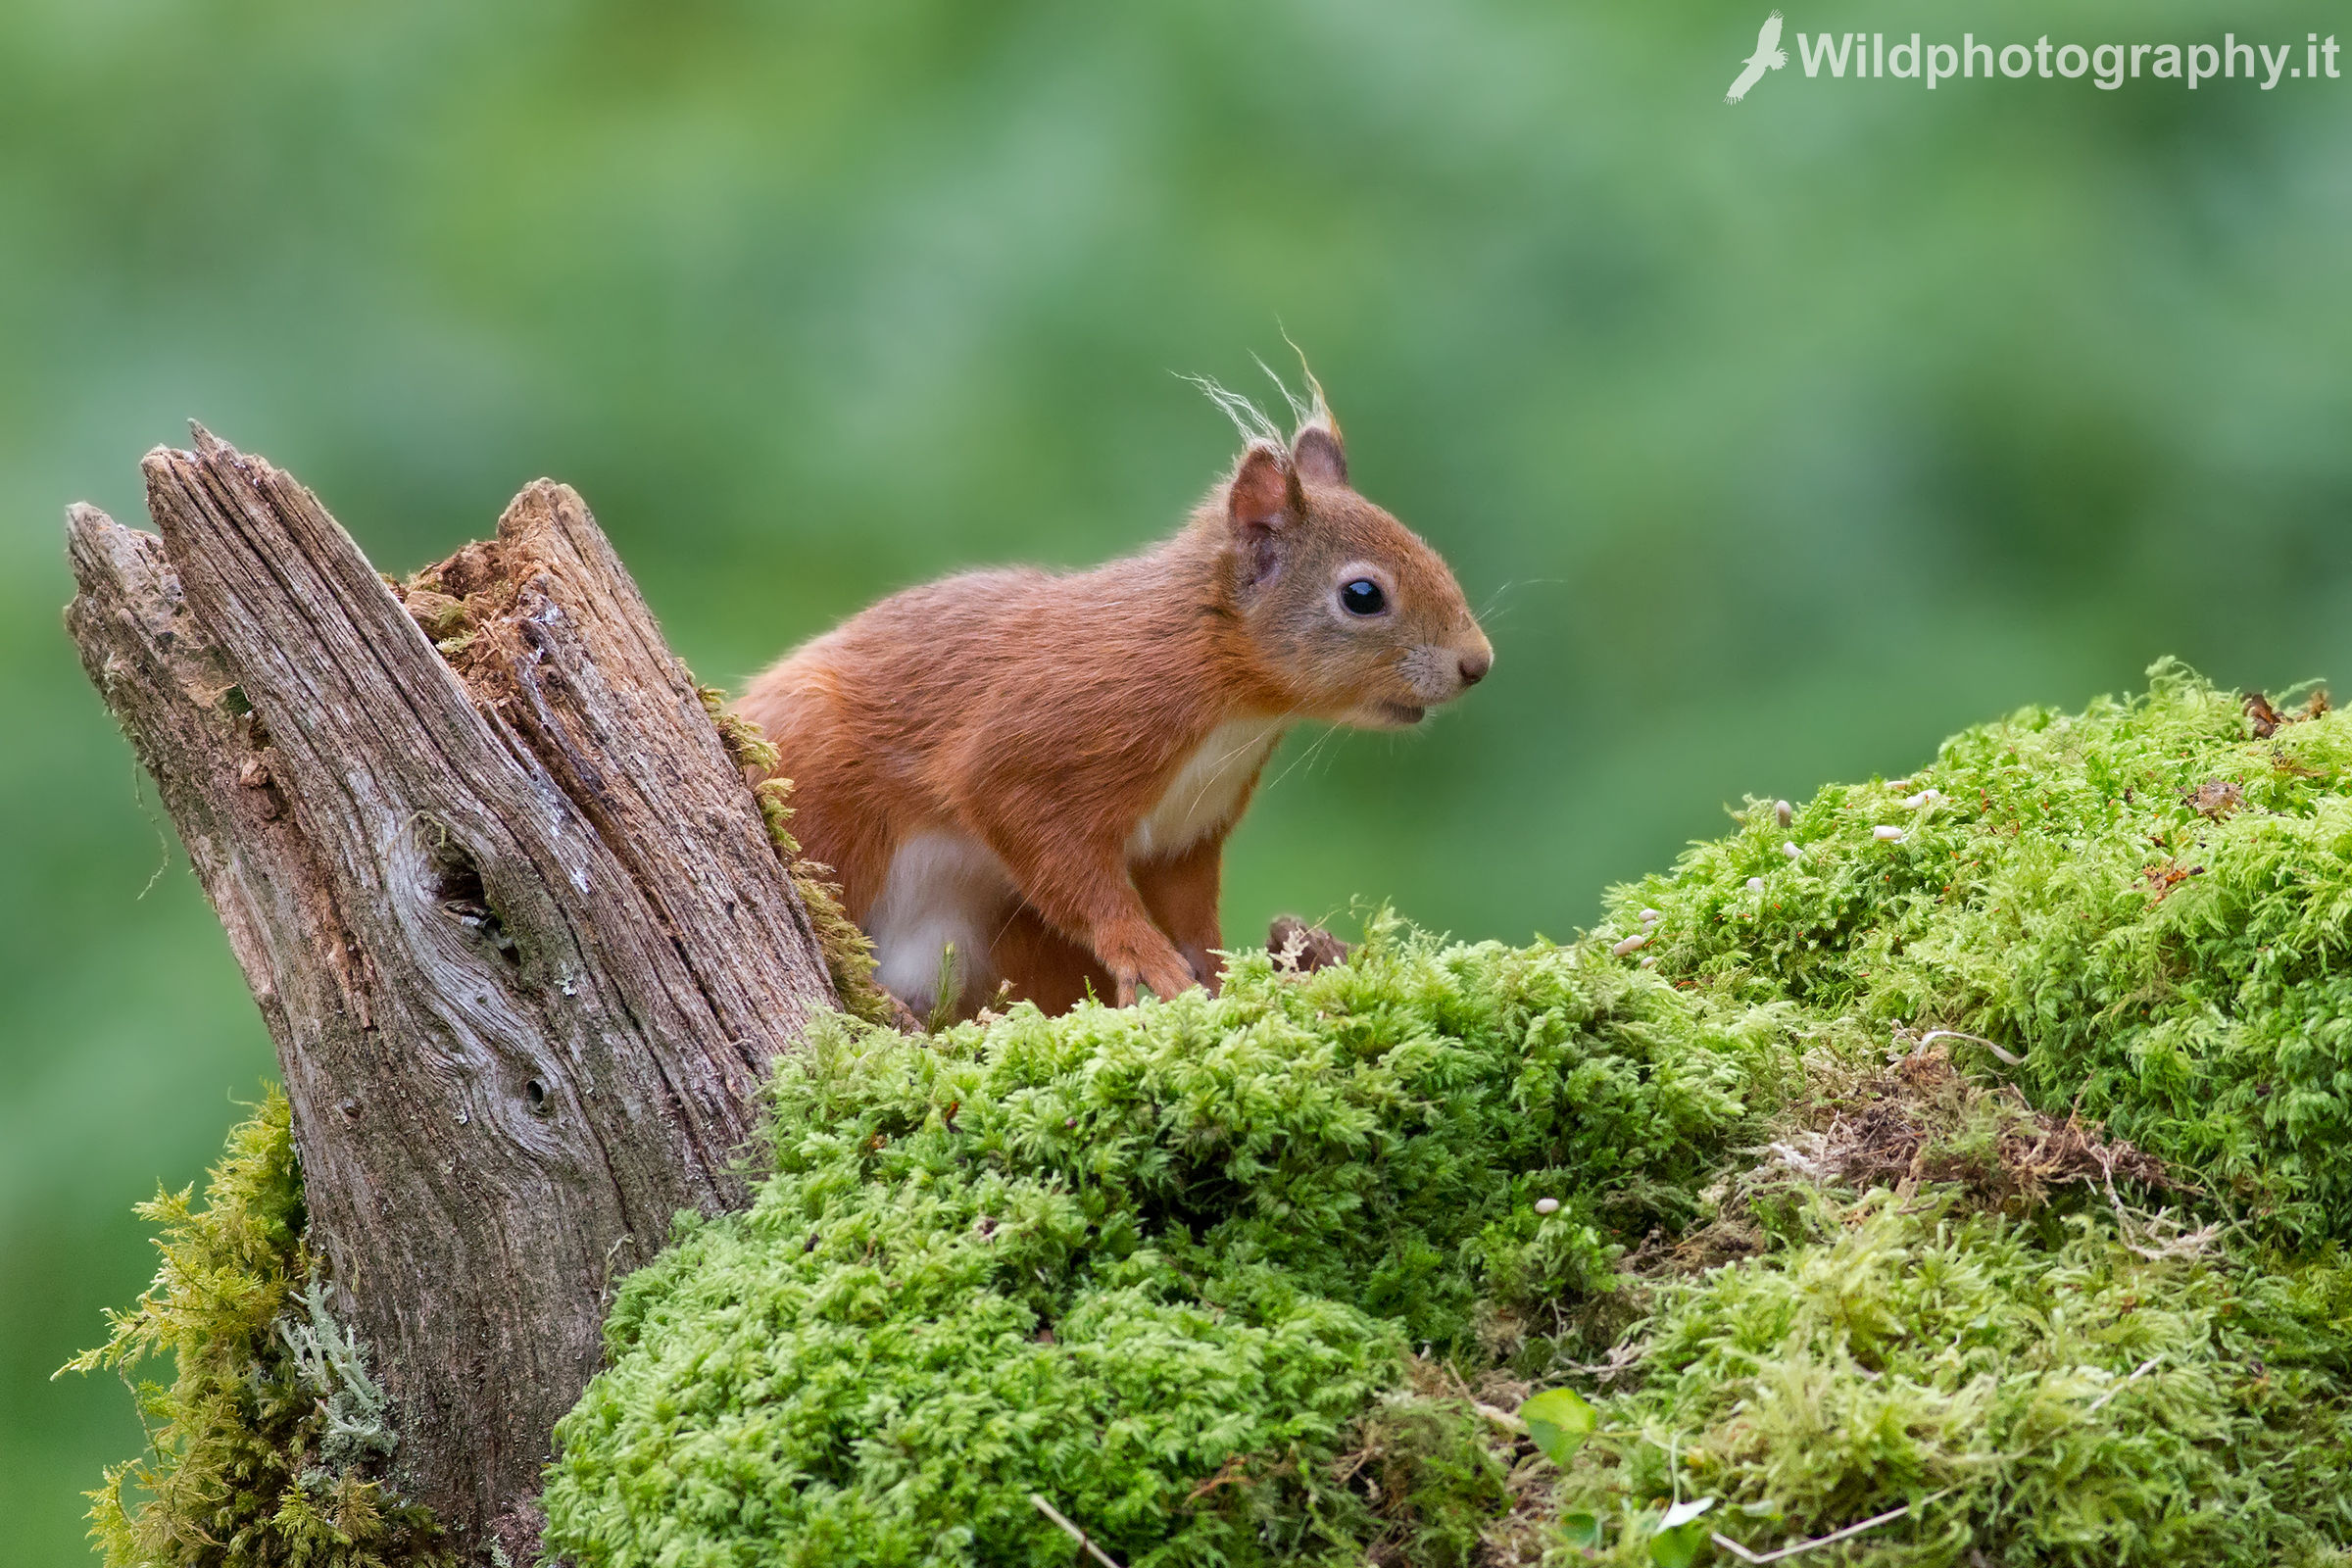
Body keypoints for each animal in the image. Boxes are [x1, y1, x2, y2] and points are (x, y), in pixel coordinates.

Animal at [735, 383, 1492, 1019]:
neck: (1232, 705)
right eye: (1363, 595)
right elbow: (1061, 861)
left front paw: (1219, 981)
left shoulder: (1188, 830)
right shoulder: (1047, 743)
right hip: (829, 800)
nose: (1478, 664)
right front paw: (1146, 956)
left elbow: (1191, 913)